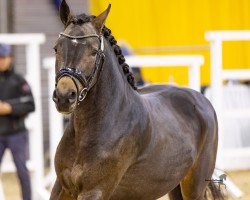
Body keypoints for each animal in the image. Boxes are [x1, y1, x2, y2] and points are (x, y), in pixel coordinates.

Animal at [50, 0, 225, 199]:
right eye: (56, 48)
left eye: (94, 52)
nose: (64, 96)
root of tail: (201, 99)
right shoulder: (62, 188)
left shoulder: (94, 191)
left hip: (194, 186)